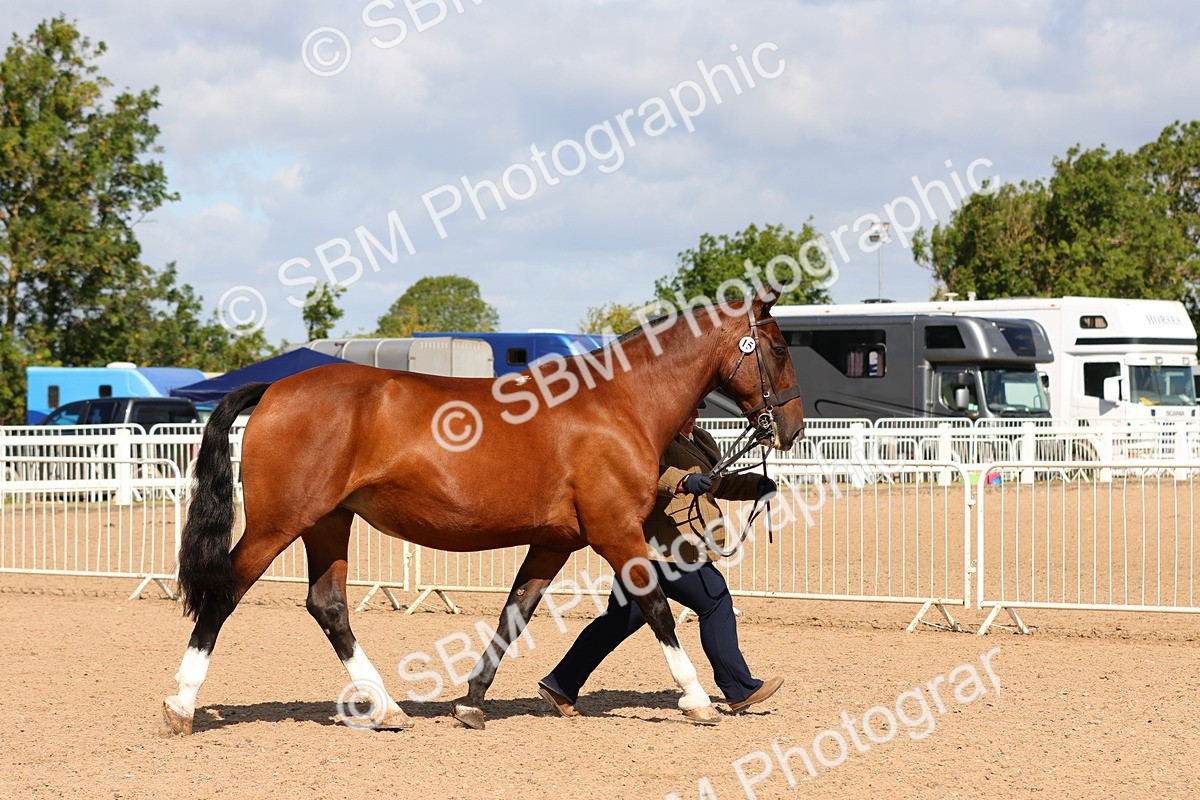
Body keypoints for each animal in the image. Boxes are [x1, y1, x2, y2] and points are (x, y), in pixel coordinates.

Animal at [162, 285, 804, 734]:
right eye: (778, 347)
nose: (793, 428)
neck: (619, 404)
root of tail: (274, 388)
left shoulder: (554, 541)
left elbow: (513, 614)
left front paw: (471, 703)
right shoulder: (617, 532)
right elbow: (658, 611)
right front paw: (696, 699)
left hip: (327, 523)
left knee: (328, 606)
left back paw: (387, 708)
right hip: (279, 522)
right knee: (225, 593)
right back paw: (180, 705)